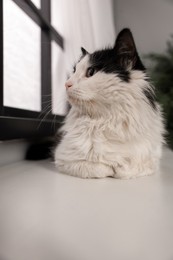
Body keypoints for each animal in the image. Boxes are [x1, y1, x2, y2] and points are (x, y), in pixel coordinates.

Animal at [54, 28, 165, 179]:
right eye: (74, 71)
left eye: (91, 72)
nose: (66, 84)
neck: (107, 121)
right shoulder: (63, 158)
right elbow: (100, 168)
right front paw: (110, 168)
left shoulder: (151, 160)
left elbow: (128, 169)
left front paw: (118, 168)